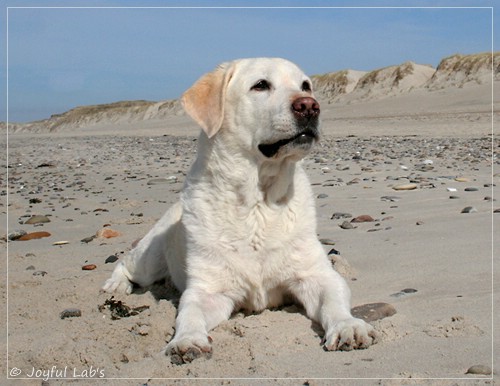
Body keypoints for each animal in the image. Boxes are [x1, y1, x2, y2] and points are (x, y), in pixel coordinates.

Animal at [102, 58, 376, 364]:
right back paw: (116, 286)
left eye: (305, 86)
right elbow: (189, 314)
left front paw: (348, 326)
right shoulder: (208, 290)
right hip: (149, 260)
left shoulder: (316, 275)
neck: (258, 202)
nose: (309, 106)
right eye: (261, 85)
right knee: (125, 262)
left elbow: (333, 302)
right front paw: (187, 341)